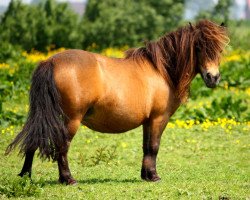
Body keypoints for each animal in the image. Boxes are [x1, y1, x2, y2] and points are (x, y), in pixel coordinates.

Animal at [5, 19, 229, 184]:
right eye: (198, 47)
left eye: (219, 50)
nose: (213, 77)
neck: (161, 71)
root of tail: (50, 61)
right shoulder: (159, 118)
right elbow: (154, 146)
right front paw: (154, 176)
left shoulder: (148, 121)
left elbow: (146, 147)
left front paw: (146, 175)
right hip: (70, 120)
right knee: (62, 145)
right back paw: (68, 179)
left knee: (34, 140)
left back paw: (25, 176)